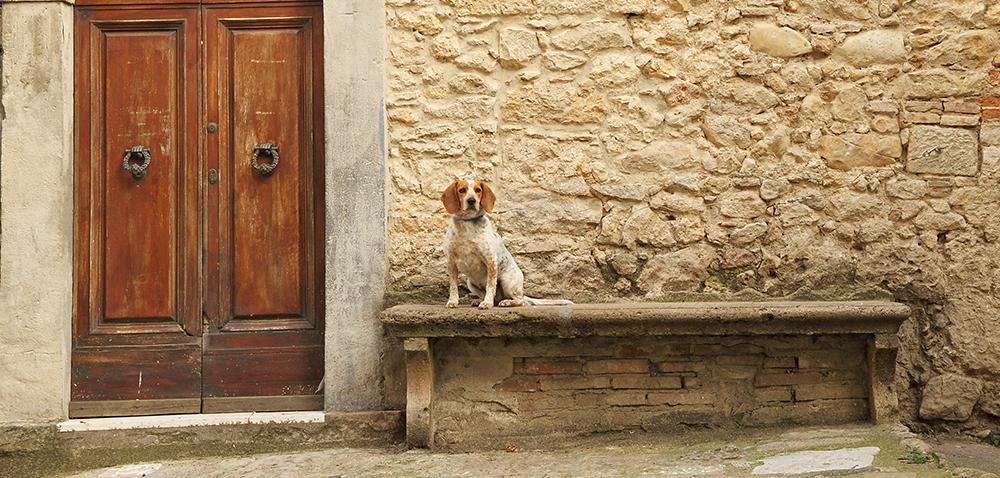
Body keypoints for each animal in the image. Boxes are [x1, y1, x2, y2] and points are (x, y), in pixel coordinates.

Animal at [444, 177, 576, 308]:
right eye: (462, 190)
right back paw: (479, 301)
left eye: (478, 190)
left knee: (521, 301)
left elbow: (490, 286)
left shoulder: (491, 260)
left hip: (507, 281)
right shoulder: (451, 262)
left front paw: (487, 303)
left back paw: (506, 302)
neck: (467, 223)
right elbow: (453, 287)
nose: (471, 200)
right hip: (471, 284)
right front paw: (453, 301)